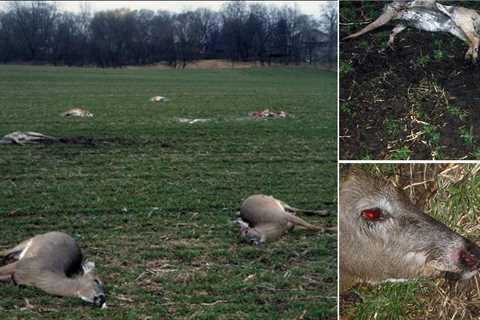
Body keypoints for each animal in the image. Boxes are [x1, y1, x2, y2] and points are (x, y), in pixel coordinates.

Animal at [344, 0, 478, 62]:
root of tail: (476, 13)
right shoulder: (403, 23)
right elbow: (393, 31)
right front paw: (390, 45)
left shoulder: (388, 16)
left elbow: (368, 27)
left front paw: (348, 37)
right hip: (456, 30)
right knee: (471, 41)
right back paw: (468, 56)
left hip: (463, 25)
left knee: (476, 39)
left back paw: (474, 57)